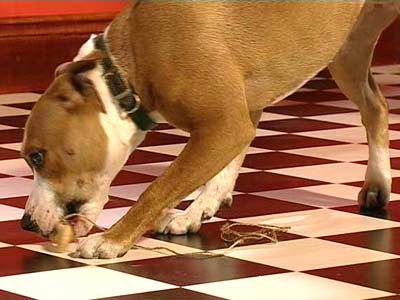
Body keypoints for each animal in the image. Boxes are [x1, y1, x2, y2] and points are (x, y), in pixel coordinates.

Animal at [19, 1, 400, 258]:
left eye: (37, 157)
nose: (26, 224)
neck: (127, 70)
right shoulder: (239, 116)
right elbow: (222, 171)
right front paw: (196, 212)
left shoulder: (224, 126)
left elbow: (157, 189)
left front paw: (112, 240)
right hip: (346, 50)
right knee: (376, 107)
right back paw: (377, 184)